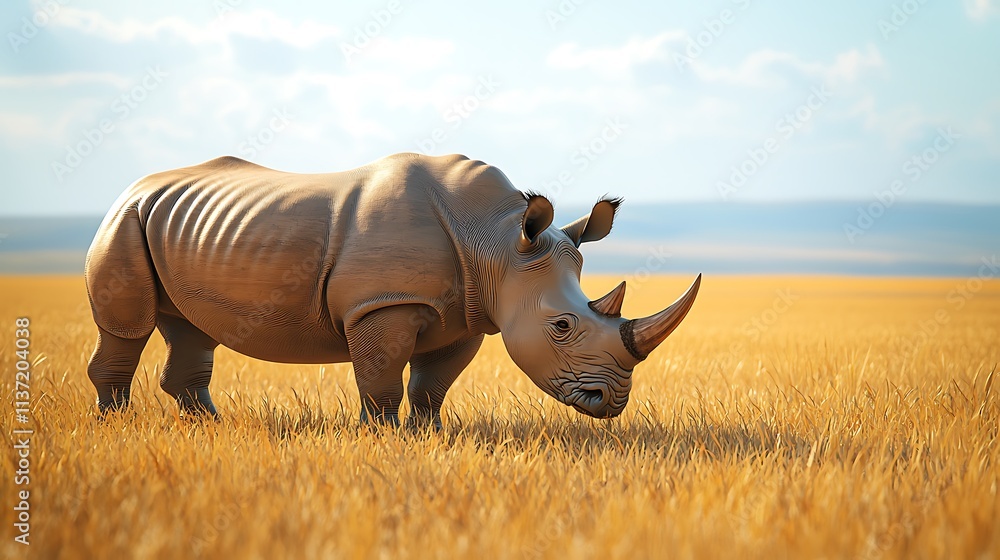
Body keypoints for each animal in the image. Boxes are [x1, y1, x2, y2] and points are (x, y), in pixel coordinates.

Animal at [85, 153, 700, 427]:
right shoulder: (381, 304)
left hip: (169, 223)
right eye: (562, 326)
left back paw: (210, 426)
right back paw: (115, 425)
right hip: (124, 220)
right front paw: (381, 436)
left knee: (190, 327)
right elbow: (380, 376)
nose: (610, 404)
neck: (500, 242)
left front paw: (430, 434)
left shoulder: (468, 311)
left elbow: (434, 382)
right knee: (129, 326)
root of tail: (134, 186)